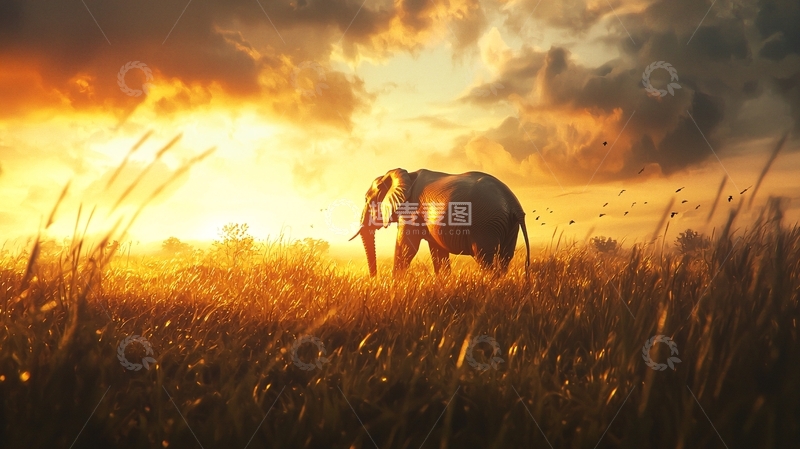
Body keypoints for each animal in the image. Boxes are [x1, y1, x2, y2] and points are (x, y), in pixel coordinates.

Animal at [349, 168, 530, 277]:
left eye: (366, 199)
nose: (375, 279)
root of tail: (513, 204)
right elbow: (438, 251)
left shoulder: (411, 211)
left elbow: (405, 247)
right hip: (508, 226)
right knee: (505, 257)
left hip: (485, 224)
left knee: (484, 257)